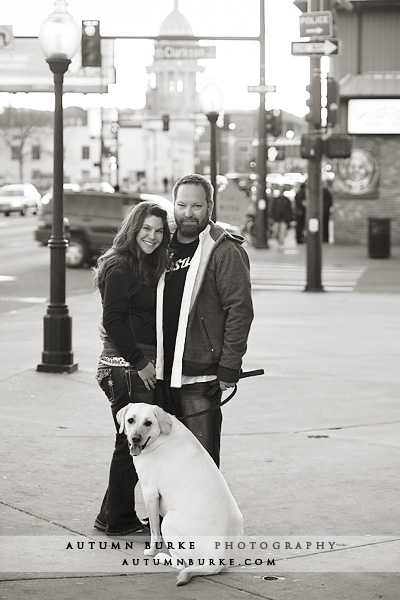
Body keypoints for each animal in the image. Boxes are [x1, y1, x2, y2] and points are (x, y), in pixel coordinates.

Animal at [116, 400, 244, 584]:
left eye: (148, 423)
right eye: (130, 420)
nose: (135, 438)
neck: (162, 435)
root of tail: (217, 556)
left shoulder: (150, 494)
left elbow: (154, 532)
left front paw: (151, 552)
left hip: (169, 521)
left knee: (181, 563)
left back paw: (161, 557)